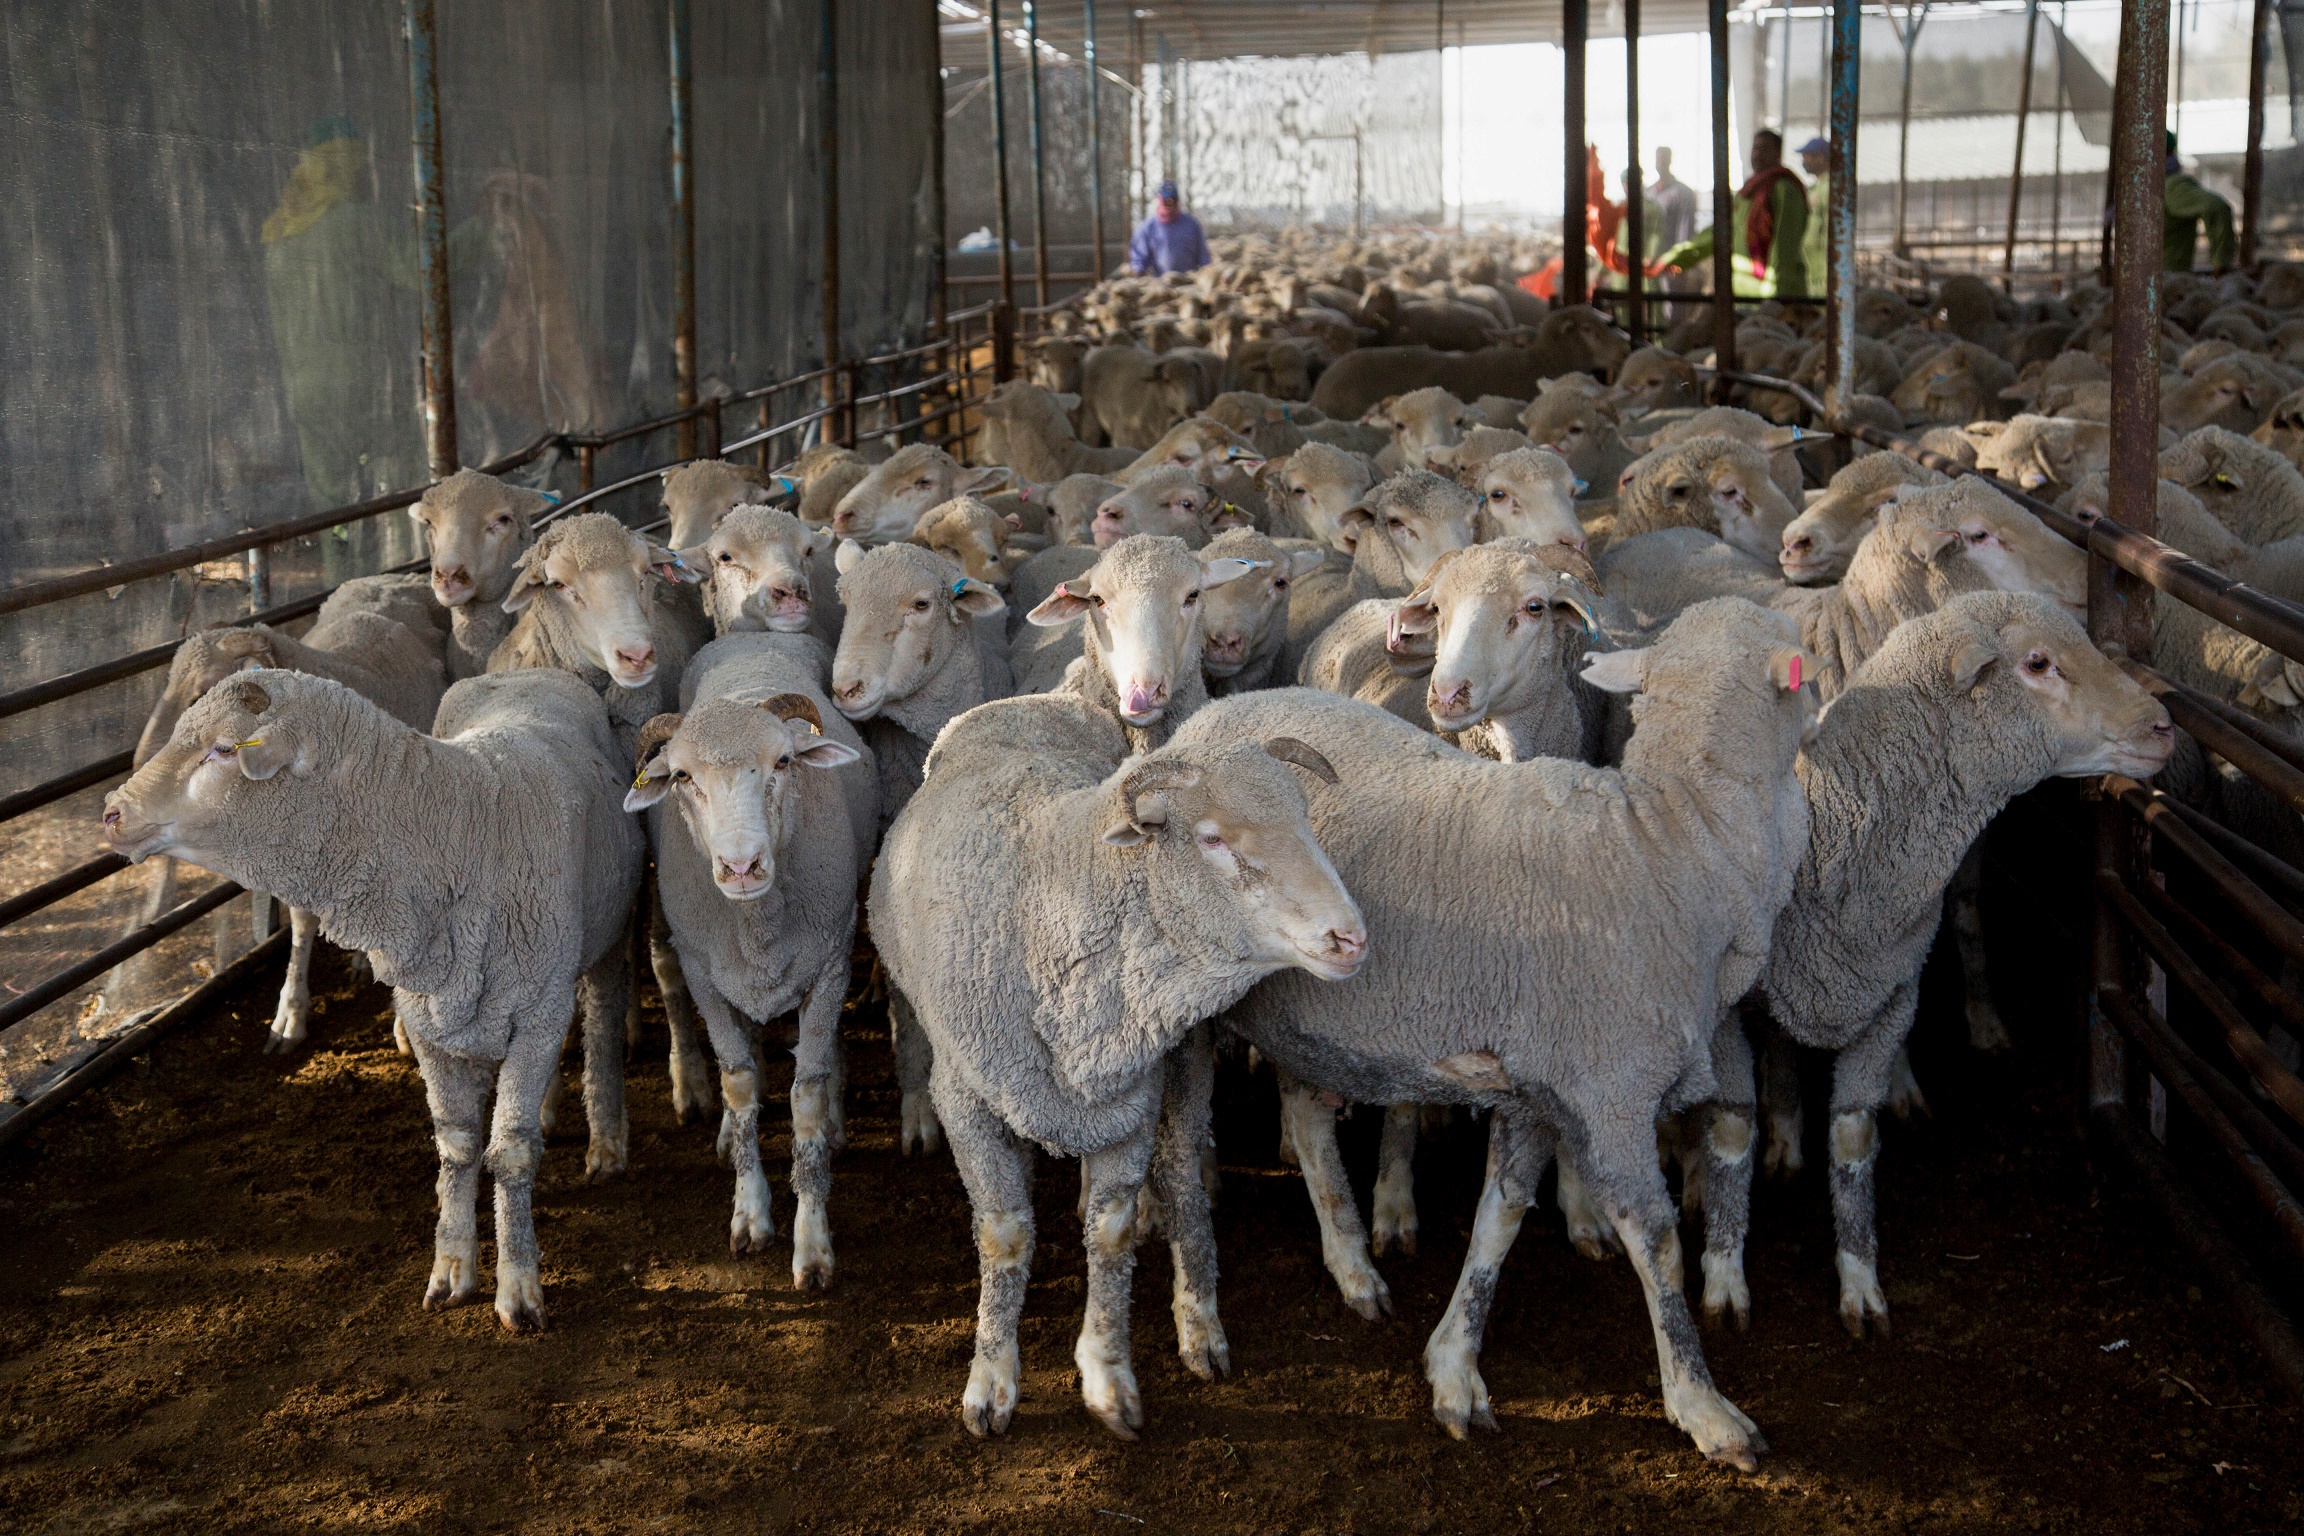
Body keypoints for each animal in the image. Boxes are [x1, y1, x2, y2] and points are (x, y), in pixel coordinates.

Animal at [103, 667, 645, 1326]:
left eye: (225, 749)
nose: (111, 812)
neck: (458, 827)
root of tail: (527, 670)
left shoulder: (539, 1011)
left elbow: (512, 1154)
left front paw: (518, 1289)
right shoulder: (431, 1019)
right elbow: (459, 1146)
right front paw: (452, 1269)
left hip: (610, 935)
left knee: (602, 1023)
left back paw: (606, 1138)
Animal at [628, 640, 878, 1288]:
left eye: (784, 762)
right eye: (682, 776)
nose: (742, 867)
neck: (757, 925)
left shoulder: (831, 964)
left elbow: (806, 1097)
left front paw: (812, 1244)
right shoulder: (703, 976)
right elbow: (738, 1083)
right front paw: (749, 1214)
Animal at [869, 690, 1366, 1438]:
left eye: (1306, 820)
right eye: (1213, 838)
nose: (1351, 937)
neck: (1051, 899)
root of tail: (1039, 698)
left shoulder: (1132, 1099)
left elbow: (1111, 1234)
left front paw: (1107, 1376)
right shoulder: (965, 1098)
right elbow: (1005, 1233)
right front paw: (992, 1380)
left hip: (1181, 1064)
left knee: (1183, 1171)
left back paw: (1200, 1320)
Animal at [1172, 597, 1818, 1468]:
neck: (1671, 842)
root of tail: (1206, 718)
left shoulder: (1537, 1087)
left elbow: (1499, 1220)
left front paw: (1452, 1367)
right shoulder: (1611, 1093)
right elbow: (1657, 1244)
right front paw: (1704, 1406)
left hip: (1310, 1015)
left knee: (1307, 1120)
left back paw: (1352, 1263)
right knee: (1180, 1152)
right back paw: (1196, 1318)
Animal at [1715, 595, 2173, 1336]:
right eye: (2038, 663)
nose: (2162, 725)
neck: (1830, 825)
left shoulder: (1890, 996)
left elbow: (1853, 1141)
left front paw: (1860, 1283)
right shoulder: (1723, 1010)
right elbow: (1731, 1127)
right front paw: (1723, 1277)